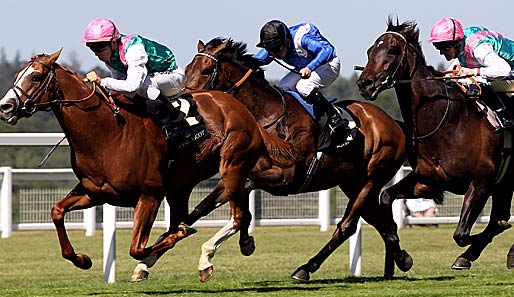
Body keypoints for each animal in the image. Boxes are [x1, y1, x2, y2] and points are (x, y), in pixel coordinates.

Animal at [0, 49, 294, 274]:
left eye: (36, 76)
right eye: (16, 75)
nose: (5, 107)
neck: (105, 133)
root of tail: (241, 109)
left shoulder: (149, 195)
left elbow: (136, 248)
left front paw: (175, 237)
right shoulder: (95, 192)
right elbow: (57, 211)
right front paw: (82, 259)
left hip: (232, 165)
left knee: (238, 214)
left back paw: (205, 258)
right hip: (183, 185)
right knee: (234, 214)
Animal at [169, 35, 412, 280]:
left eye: (207, 70)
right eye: (187, 69)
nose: (187, 100)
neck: (266, 118)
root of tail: (393, 123)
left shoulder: (286, 178)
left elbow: (245, 195)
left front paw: (243, 240)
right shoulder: (236, 174)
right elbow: (199, 209)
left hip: (370, 180)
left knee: (347, 226)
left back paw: (306, 268)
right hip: (352, 183)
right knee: (382, 224)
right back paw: (399, 260)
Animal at [356, 17, 512, 268]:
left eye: (391, 50)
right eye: (370, 51)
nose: (364, 84)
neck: (446, 121)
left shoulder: (481, 183)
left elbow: (464, 233)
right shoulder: (429, 181)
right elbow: (386, 197)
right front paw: (401, 256)